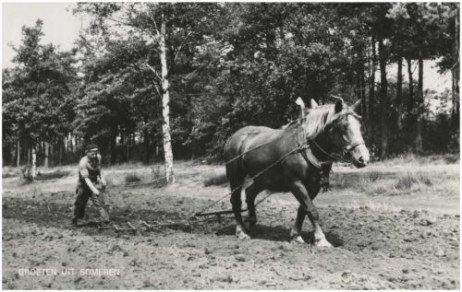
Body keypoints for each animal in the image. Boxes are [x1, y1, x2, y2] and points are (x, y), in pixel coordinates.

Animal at [222, 97, 370, 246]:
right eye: (344, 126)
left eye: (360, 126)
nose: (363, 158)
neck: (305, 148)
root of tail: (233, 137)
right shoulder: (296, 184)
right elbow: (311, 210)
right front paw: (321, 239)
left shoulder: (313, 186)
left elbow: (303, 209)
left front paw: (296, 235)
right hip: (236, 177)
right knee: (236, 201)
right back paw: (241, 231)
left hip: (262, 179)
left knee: (250, 193)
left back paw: (250, 222)